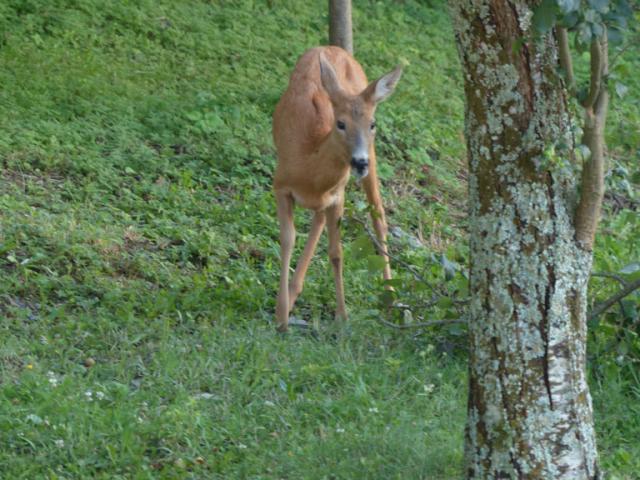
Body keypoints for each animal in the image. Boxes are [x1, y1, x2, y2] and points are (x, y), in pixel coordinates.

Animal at [272, 47, 402, 332]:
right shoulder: (280, 185)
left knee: (378, 214)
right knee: (318, 219)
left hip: (372, 162)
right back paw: (293, 293)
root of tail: (334, 48)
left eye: (372, 124)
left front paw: (342, 318)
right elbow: (288, 240)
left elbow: (336, 253)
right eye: (341, 123)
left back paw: (391, 298)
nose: (359, 162)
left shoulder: (338, 196)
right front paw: (281, 317)